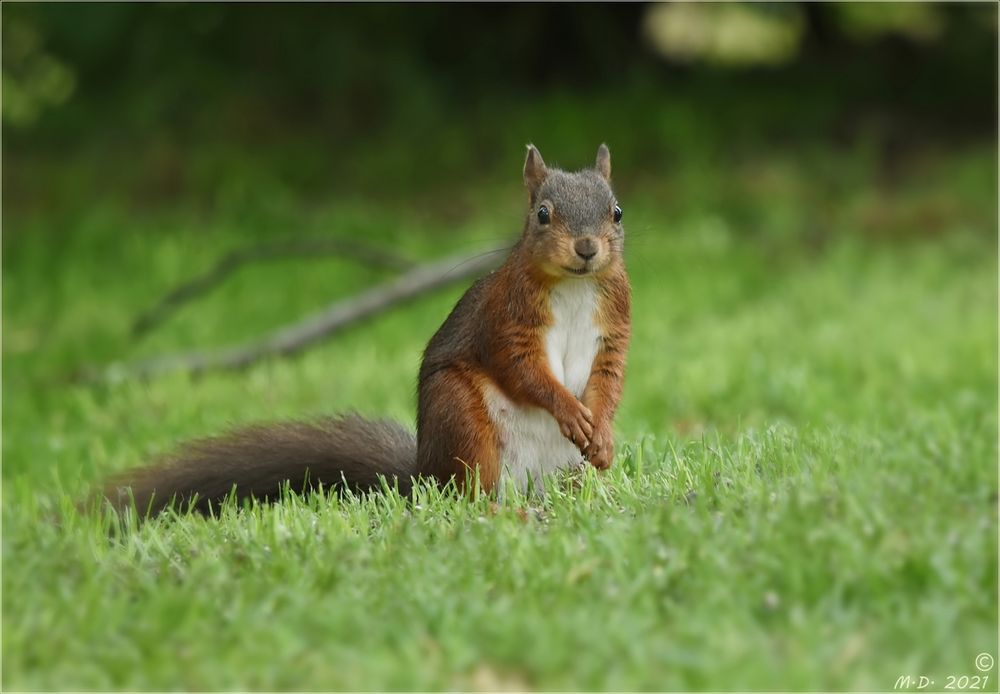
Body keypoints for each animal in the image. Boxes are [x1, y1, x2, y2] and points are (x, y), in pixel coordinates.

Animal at [101, 145, 632, 516]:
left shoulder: (614, 330)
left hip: (563, 468)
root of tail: (421, 477)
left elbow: (608, 380)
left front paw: (602, 433)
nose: (587, 247)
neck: (573, 287)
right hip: (462, 420)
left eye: (617, 212)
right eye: (542, 214)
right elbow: (524, 370)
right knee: (468, 497)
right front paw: (570, 411)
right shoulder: (506, 322)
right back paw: (506, 511)